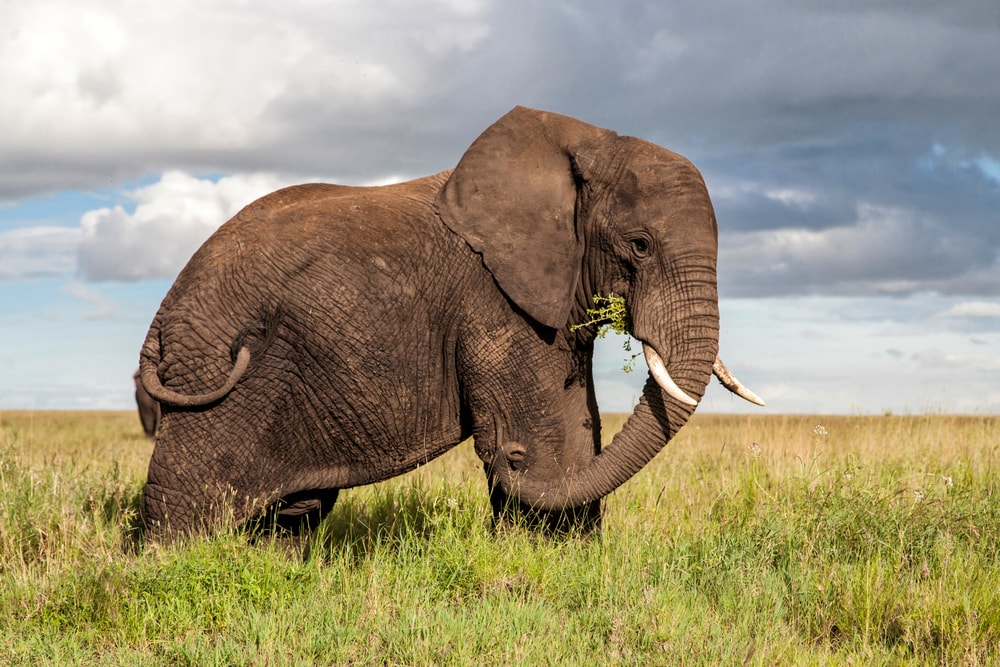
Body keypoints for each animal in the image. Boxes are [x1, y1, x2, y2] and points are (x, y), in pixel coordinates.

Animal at [139, 106, 763, 538]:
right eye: (640, 245)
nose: (503, 454)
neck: (588, 140)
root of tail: (166, 307)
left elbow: (576, 423)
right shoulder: (493, 302)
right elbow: (547, 438)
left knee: (296, 511)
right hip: (213, 368)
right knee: (188, 500)